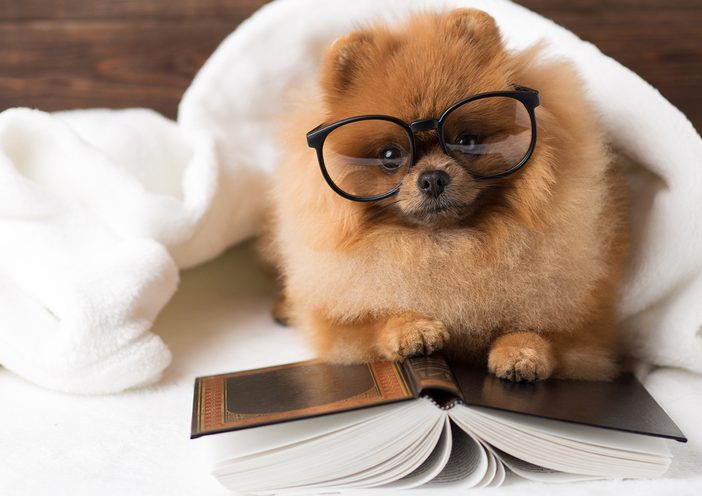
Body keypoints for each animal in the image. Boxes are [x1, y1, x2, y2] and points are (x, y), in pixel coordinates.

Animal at [262, 7, 628, 382]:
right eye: (390, 155)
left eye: (467, 140)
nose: (433, 178)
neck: (446, 245)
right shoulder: (337, 322)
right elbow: (374, 319)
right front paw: (411, 328)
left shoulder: (586, 328)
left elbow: (541, 330)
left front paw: (522, 351)